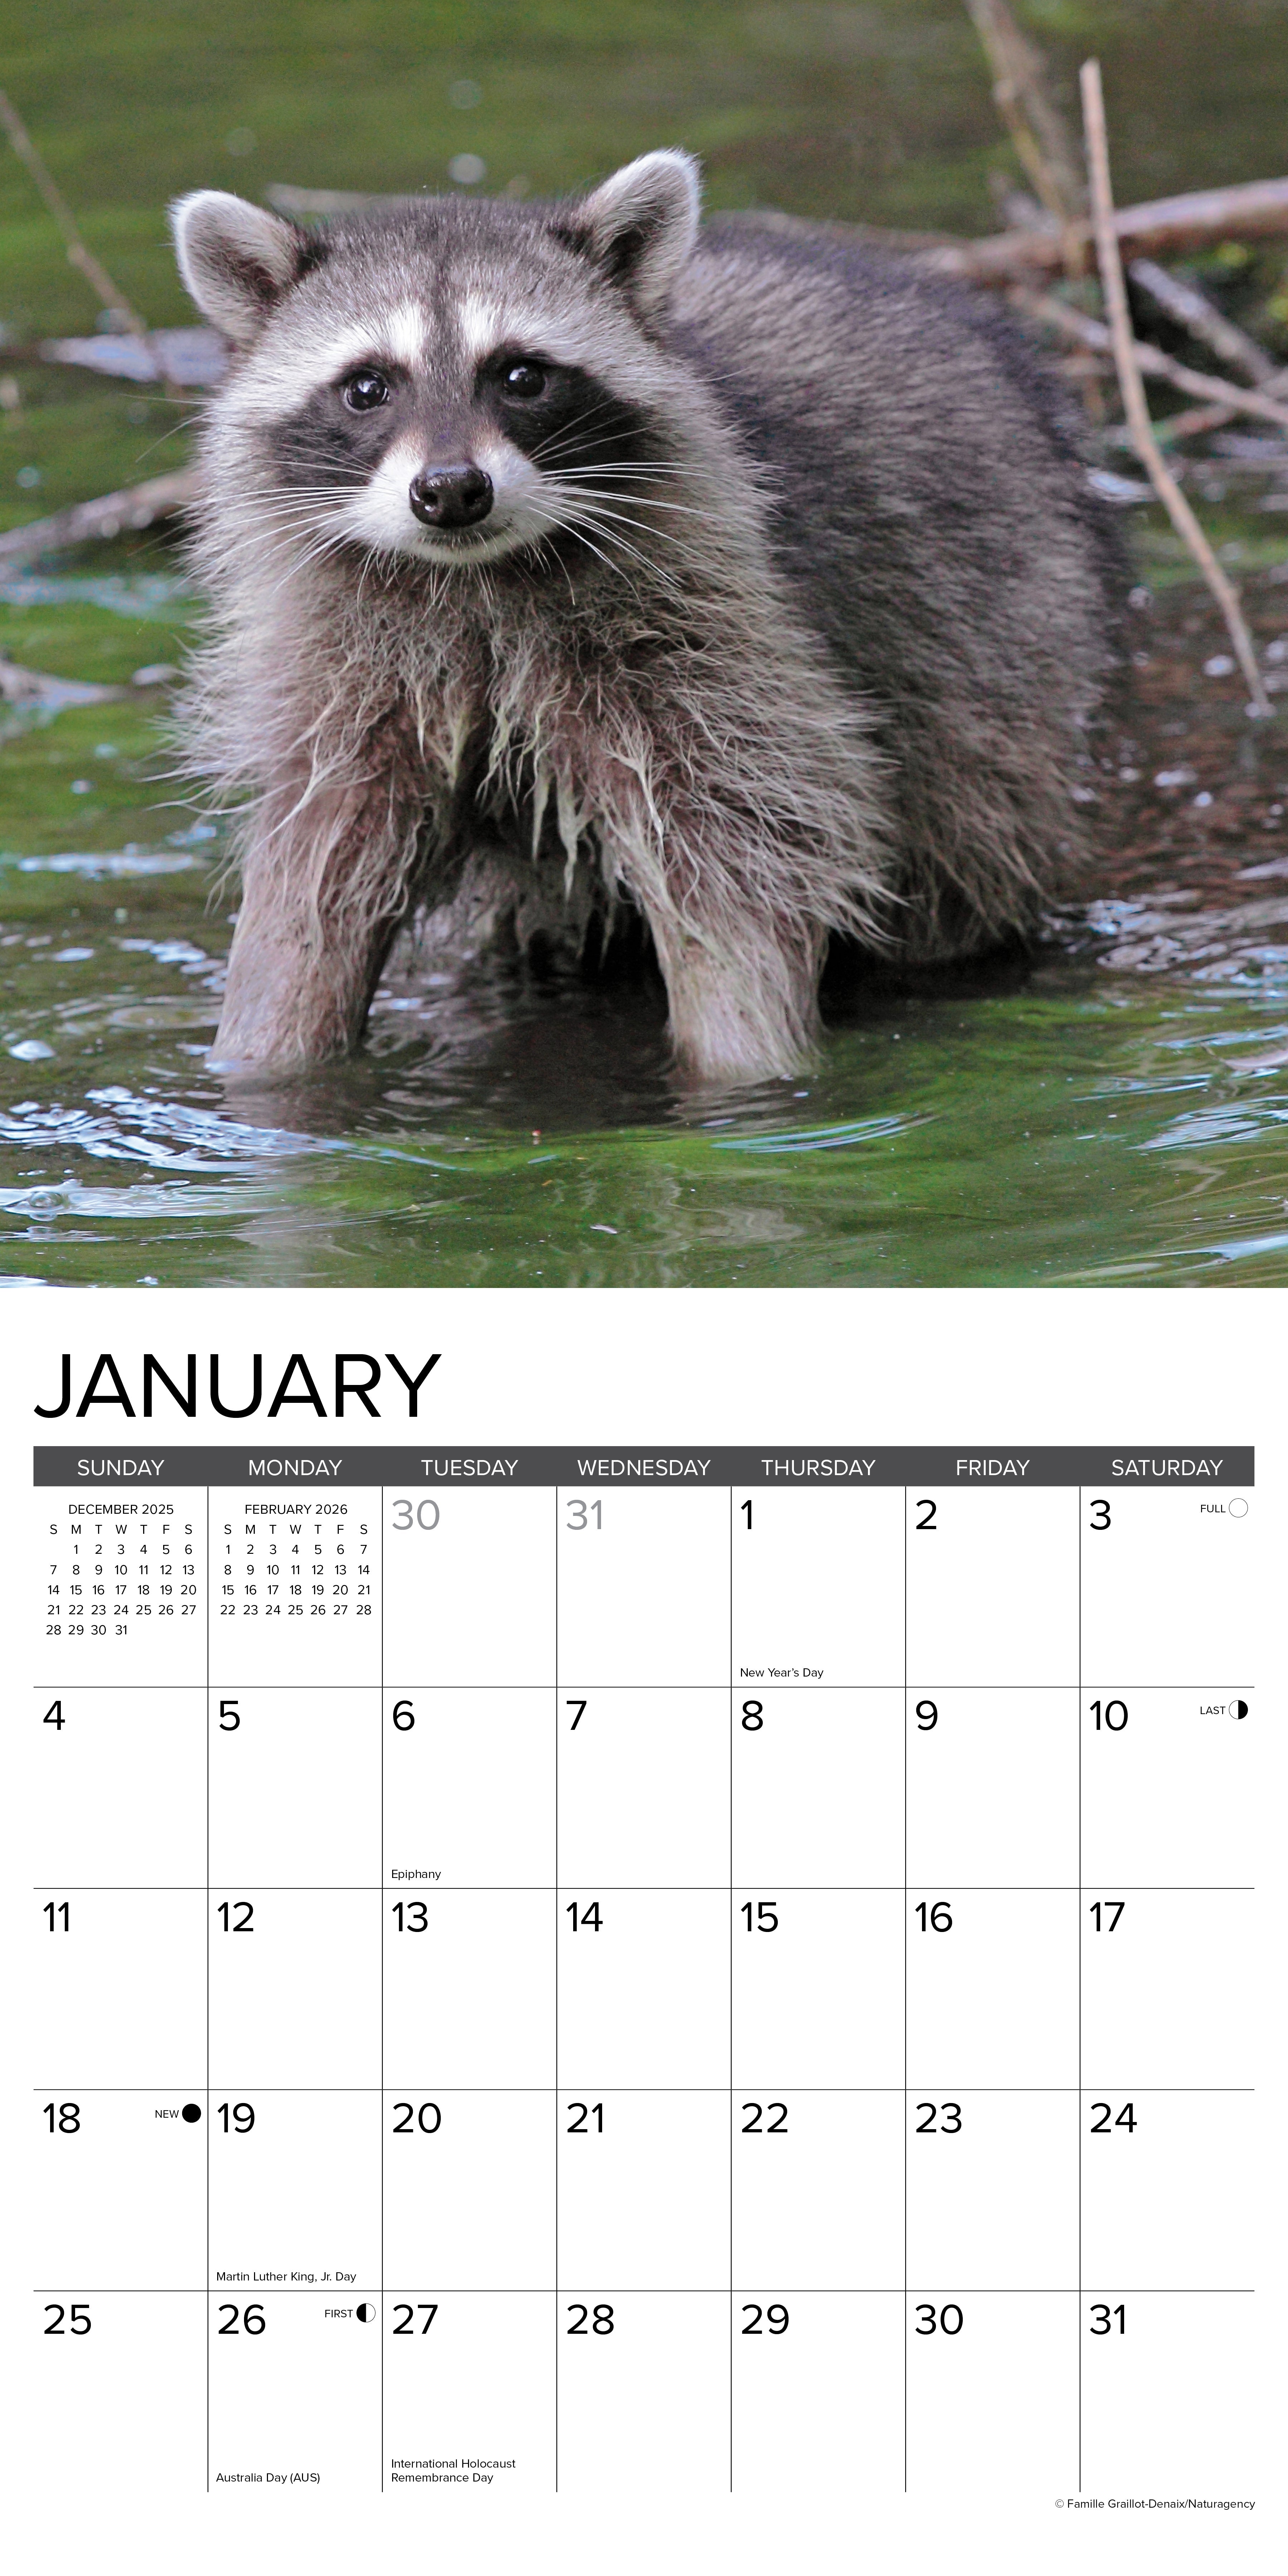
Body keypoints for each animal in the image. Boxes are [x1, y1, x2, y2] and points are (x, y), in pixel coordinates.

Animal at [170, 153, 1121, 1081]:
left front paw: (748, 1060)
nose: (451, 490)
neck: (472, 582)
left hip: (1001, 626)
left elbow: (744, 850)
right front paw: (264, 1055)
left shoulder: (717, 635)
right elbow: (316, 869)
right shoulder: (344, 680)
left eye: (521, 375)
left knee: (969, 813)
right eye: (366, 387)